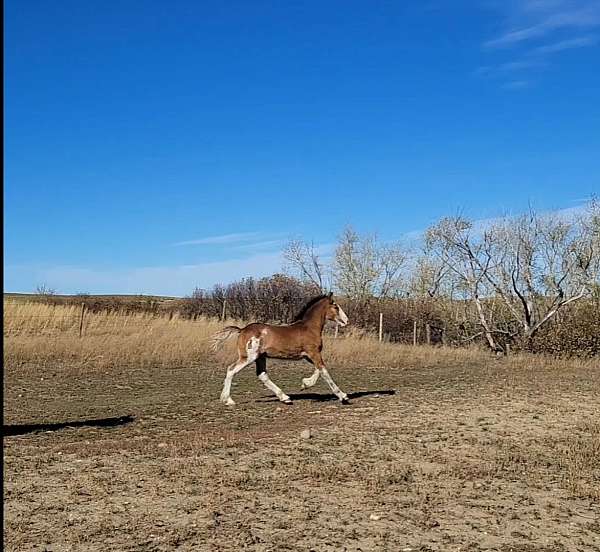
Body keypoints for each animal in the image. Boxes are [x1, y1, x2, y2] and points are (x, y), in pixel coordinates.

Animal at [211, 294, 352, 406]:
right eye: (336, 307)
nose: (346, 321)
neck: (309, 328)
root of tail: (242, 330)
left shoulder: (308, 356)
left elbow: (319, 369)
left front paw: (305, 384)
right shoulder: (313, 353)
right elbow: (324, 371)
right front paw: (343, 396)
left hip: (260, 357)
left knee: (262, 375)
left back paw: (285, 398)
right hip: (248, 357)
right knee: (231, 370)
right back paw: (228, 400)